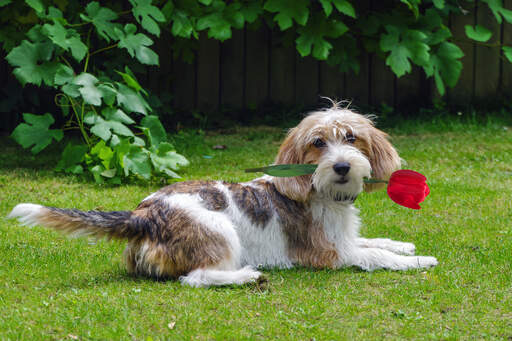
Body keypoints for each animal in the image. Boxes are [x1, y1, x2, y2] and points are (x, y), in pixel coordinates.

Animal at [9, 104, 436, 286]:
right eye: (318, 143)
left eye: (351, 138)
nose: (343, 167)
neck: (319, 192)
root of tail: (141, 216)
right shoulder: (331, 254)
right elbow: (374, 255)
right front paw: (418, 262)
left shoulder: (344, 239)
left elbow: (376, 241)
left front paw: (407, 246)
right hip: (220, 231)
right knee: (195, 278)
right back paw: (247, 276)